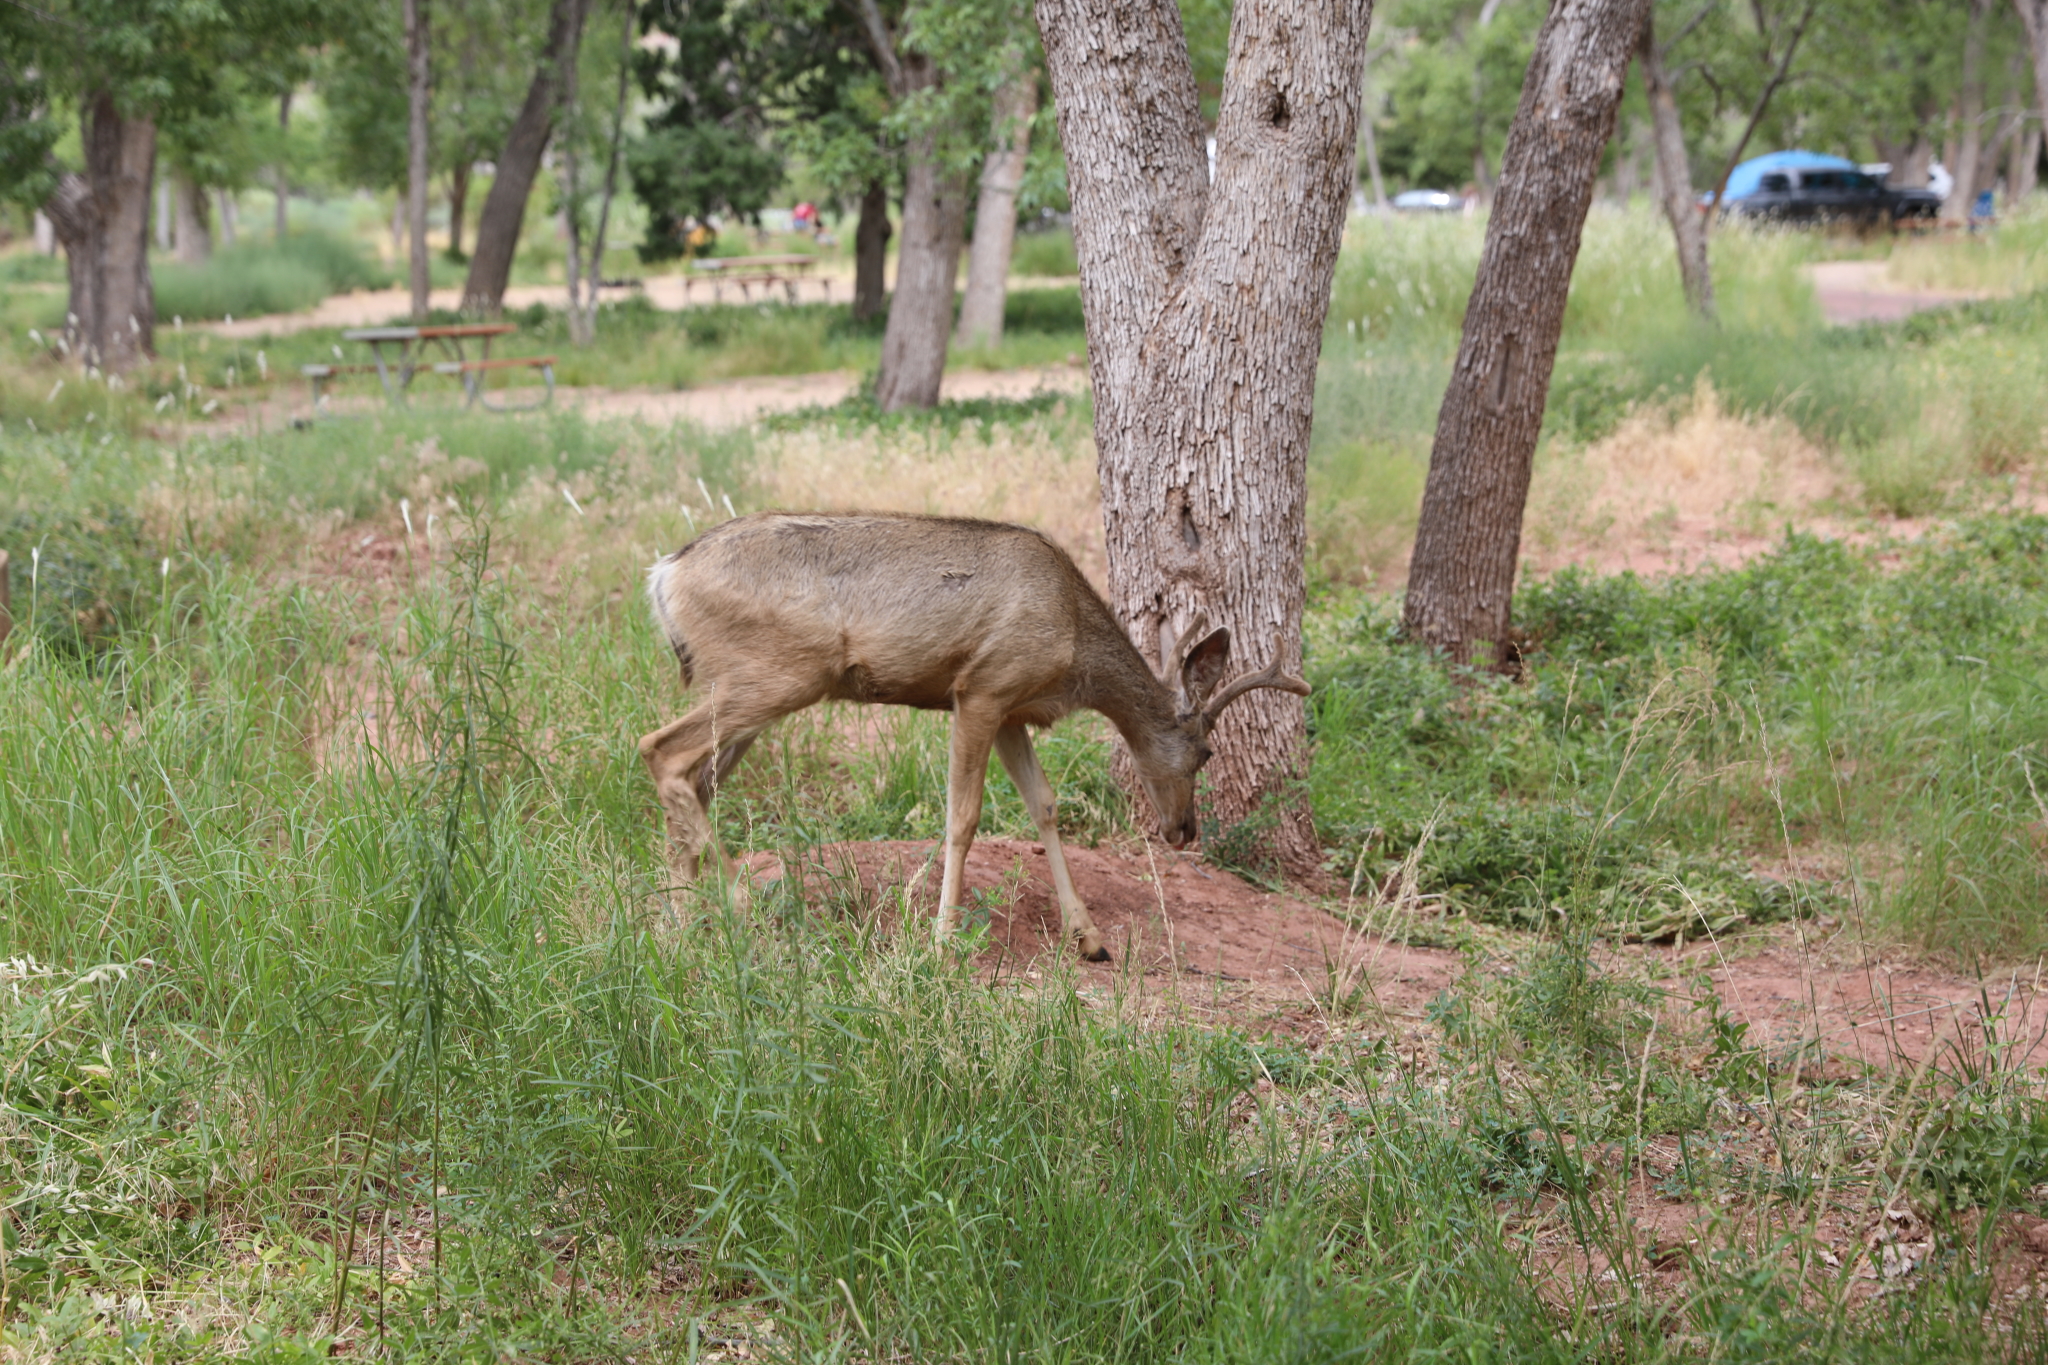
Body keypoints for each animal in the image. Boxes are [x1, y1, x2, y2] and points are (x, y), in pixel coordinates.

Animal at [638, 511, 1310, 961]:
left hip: (747, 690)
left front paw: (1089, 938)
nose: (1184, 829)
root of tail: (664, 574)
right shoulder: (982, 688)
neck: (1073, 647)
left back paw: (681, 923)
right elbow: (962, 816)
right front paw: (941, 939)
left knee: (694, 781)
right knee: (659, 749)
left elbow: (1045, 806)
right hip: (780, 674)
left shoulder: (1012, 710)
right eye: (1207, 750)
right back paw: (740, 903)